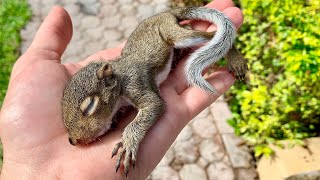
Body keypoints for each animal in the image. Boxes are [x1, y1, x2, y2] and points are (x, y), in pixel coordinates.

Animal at [62, 6, 248, 176]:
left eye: (89, 106)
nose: (72, 141)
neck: (119, 77)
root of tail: (165, 13)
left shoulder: (136, 83)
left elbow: (153, 105)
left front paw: (127, 144)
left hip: (173, 34)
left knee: (212, 35)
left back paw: (235, 59)